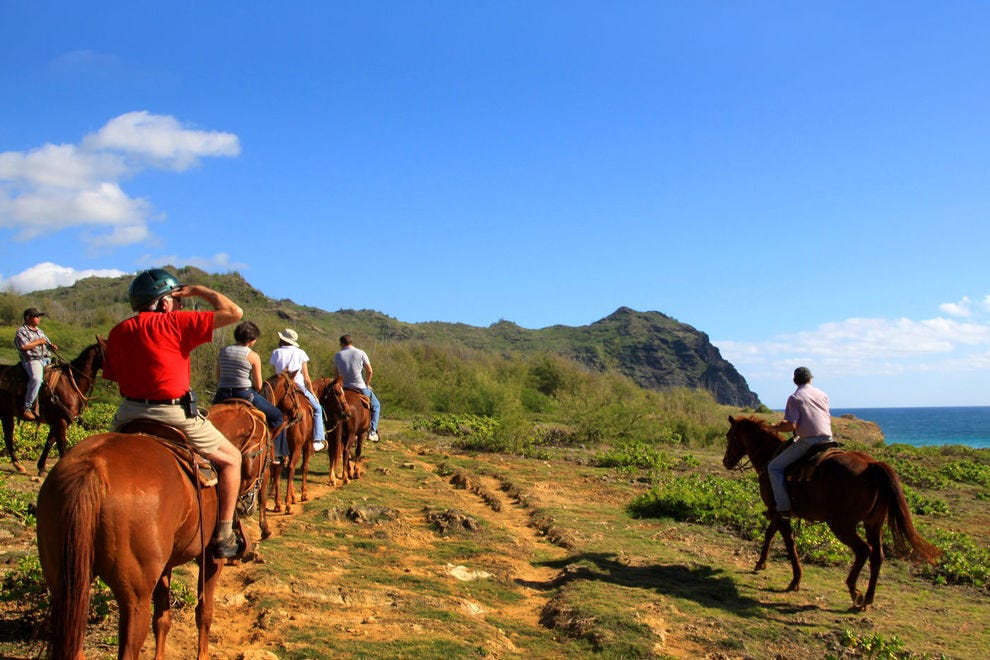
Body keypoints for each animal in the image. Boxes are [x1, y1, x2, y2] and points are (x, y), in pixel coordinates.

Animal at [0, 340, 106, 474]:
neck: (72, 383)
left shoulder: (59, 421)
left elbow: (49, 442)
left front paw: (41, 467)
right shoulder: (60, 421)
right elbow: (62, 446)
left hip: (6, 414)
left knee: (8, 438)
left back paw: (18, 465)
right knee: (8, 438)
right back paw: (18, 465)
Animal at [36, 400, 272, 656]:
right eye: (266, 452)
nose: (247, 504)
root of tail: (92, 469)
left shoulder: (164, 566)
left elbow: (162, 619)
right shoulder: (211, 559)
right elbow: (204, 613)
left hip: (66, 586)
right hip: (135, 596)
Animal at [262, 368, 316, 512]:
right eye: (294, 391)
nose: (299, 414)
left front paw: (290, 498)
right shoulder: (306, 445)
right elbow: (304, 467)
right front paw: (302, 495)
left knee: (278, 470)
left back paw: (278, 504)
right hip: (299, 446)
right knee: (291, 467)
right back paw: (286, 504)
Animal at [724, 416, 940, 612]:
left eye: (729, 436)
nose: (726, 462)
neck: (769, 456)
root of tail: (871, 467)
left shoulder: (778, 510)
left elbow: (787, 541)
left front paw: (794, 580)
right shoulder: (776, 511)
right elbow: (771, 533)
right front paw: (761, 563)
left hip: (841, 525)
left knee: (863, 550)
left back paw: (854, 591)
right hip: (873, 523)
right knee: (877, 555)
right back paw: (867, 599)